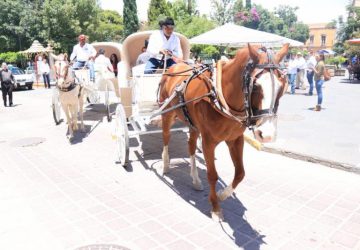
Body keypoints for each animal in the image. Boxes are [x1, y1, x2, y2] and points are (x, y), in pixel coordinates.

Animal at [159, 44, 288, 220]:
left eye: (282, 87)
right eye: (256, 86)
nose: (267, 135)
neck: (220, 96)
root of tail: (172, 67)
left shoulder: (235, 139)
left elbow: (240, 173)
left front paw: (222, 195)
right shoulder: (208, 142)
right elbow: (212, 175)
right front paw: (215, 207)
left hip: (192, 124)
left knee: (191, 146)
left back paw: (195, 179)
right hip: (167, 114)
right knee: (166, 138)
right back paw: (165, 164)